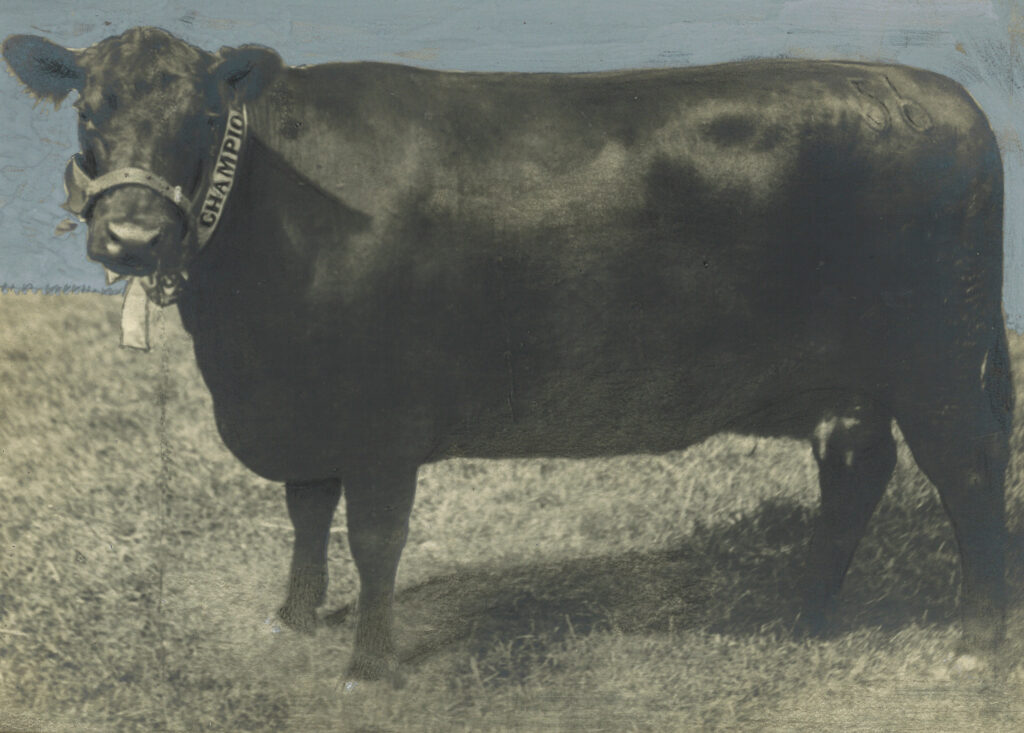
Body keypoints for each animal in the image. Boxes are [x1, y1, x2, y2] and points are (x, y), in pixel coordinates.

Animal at [2, 27, 1014, 681]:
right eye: (89, 110)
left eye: (204, 114)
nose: (132, 237)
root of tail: (945, 96)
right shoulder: (305, 402)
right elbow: (305, 512)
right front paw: (293, 619)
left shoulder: (381, 415)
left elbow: (374, 536)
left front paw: (369, 665)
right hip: (855, 375)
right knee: (856, 465)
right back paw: (804, 616)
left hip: (939, 355)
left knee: (966, 472)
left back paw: (975, 642)